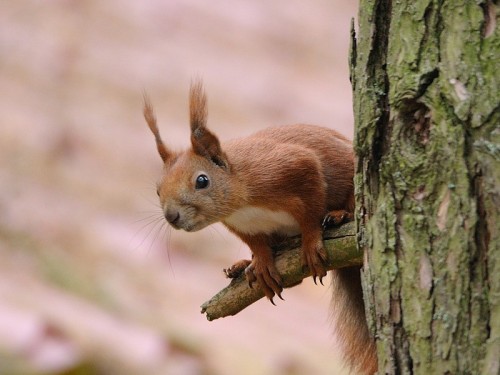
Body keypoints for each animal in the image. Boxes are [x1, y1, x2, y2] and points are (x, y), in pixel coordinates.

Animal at [143, 81, 376, 374]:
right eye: (157, 189)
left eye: (202, 181)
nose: (171, 216)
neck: (242, 206)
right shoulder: (242, 226)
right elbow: (257, 244)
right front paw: (261, 262)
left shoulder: (294, 167)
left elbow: (311, 214)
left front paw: (312, 243)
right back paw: (244, 265)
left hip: (351, 172)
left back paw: (339, 214)